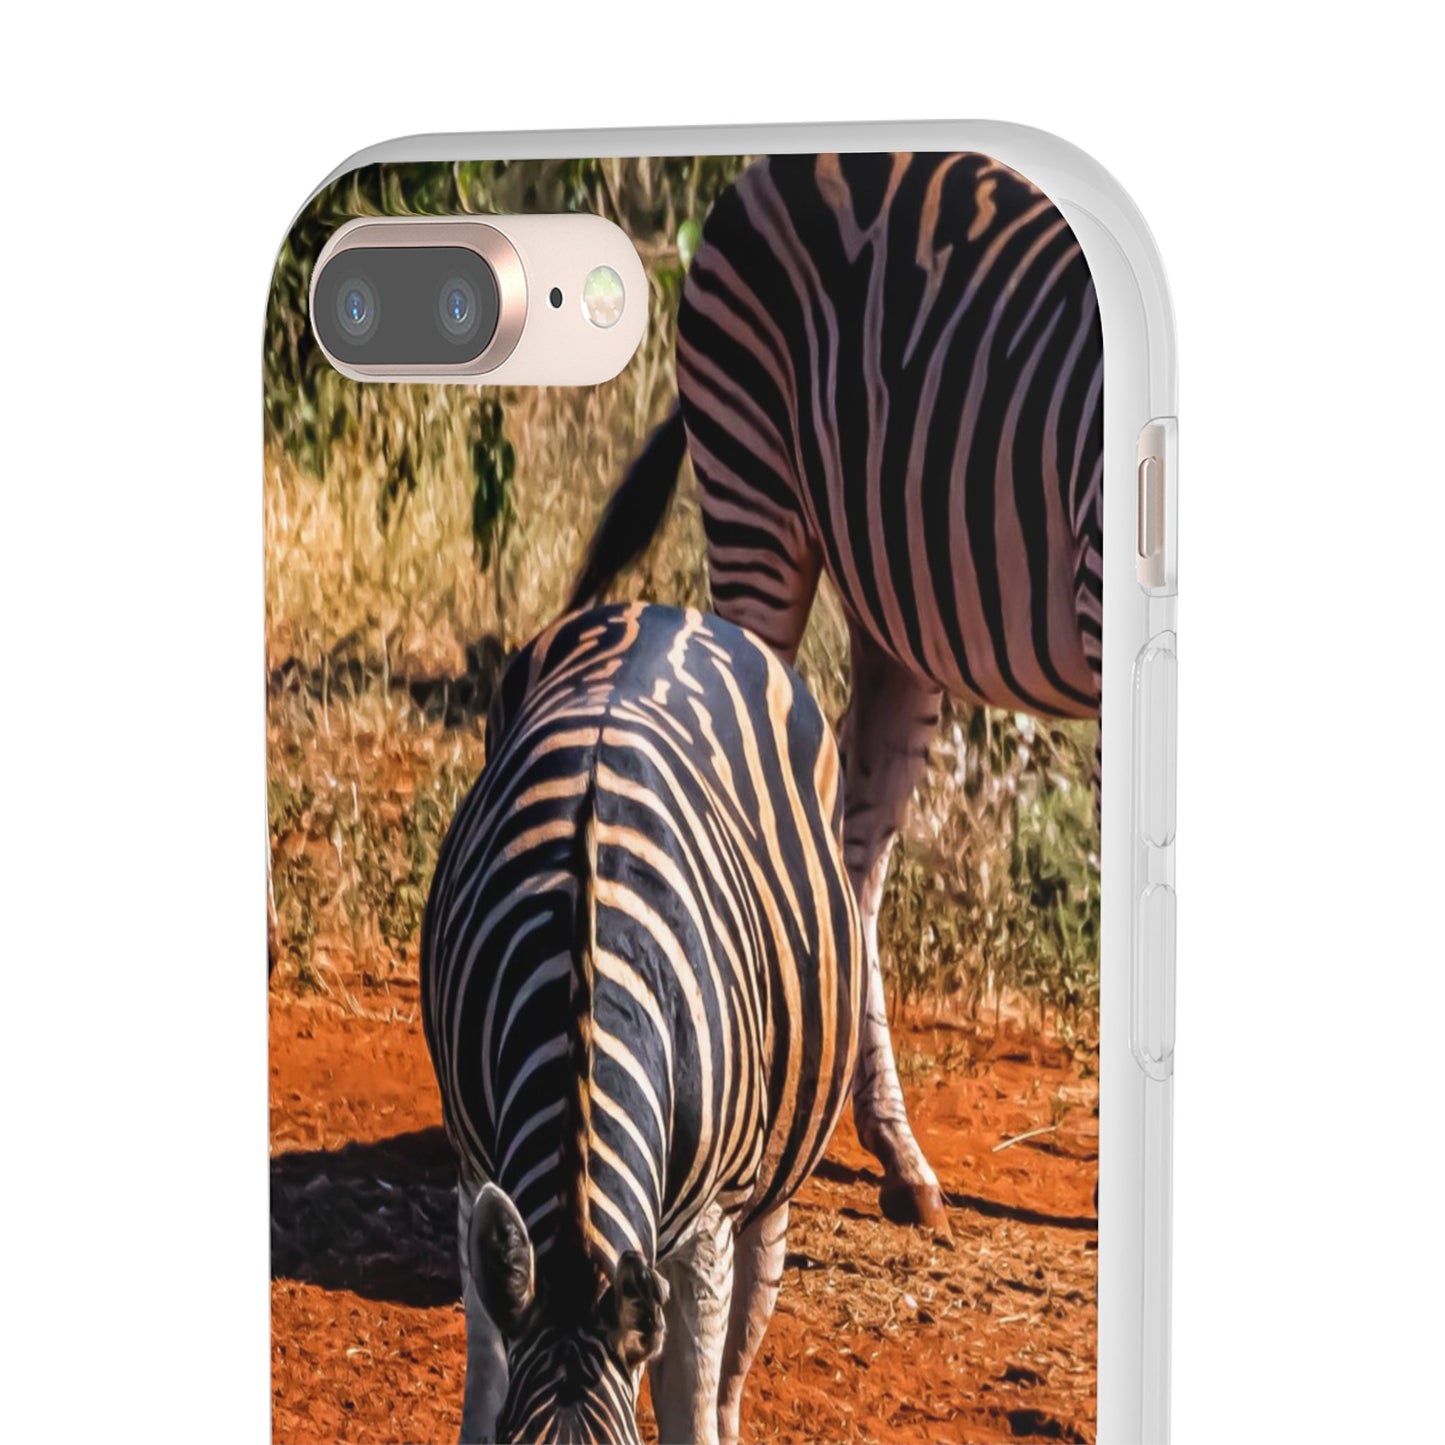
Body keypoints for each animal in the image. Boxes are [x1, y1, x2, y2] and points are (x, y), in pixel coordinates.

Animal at [421, 601, 864, 1445]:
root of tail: (665, 609)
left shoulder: (707, 1226)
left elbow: (687, 1408)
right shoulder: (473, 1169)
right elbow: (484, 1380)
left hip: (768, 1179)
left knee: (739, 1340)